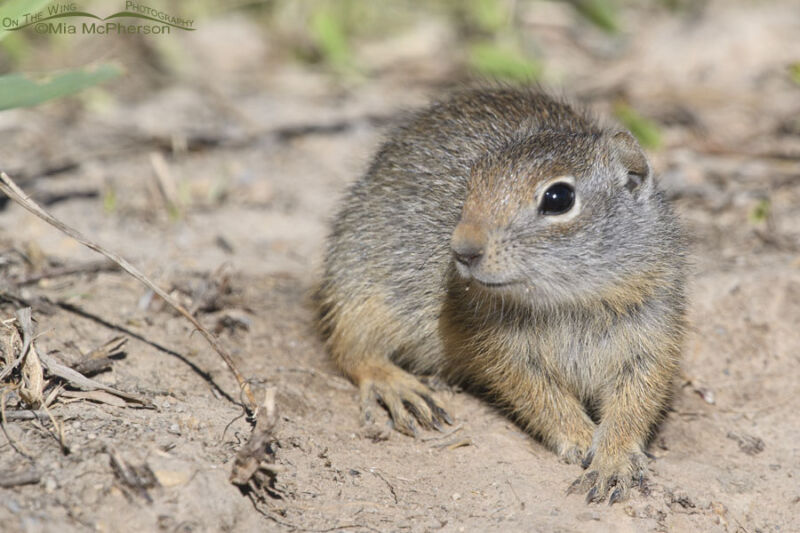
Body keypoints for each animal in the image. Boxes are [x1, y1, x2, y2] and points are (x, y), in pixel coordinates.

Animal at [318, 86, 688, 502]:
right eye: (472, 183)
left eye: (558, 198)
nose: (462, 250)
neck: (570, 297)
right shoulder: (502, 348)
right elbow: (541, 397)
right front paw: (579, 437)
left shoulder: (652, 330)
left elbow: (636, 402)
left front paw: (614, 459)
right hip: (361, 293)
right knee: (353, 351)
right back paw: (397, 387)